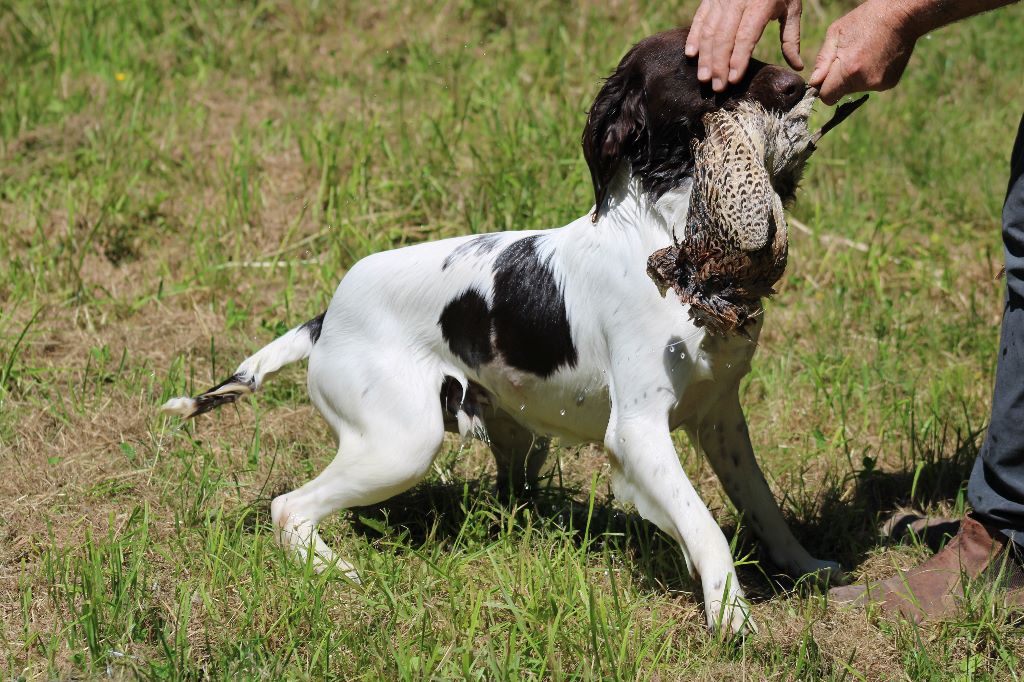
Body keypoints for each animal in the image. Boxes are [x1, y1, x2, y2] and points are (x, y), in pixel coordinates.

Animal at [163, 26, 843, 630]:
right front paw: (730, 616)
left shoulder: (721, 416)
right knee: (288, 508)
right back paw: (338, 573)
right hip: (401, 445)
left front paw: (807, 568)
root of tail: (328, 314)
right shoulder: (639, 433)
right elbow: (704, 526)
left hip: (513, 436)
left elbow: (763, 506)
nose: (799, 84)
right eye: (706, 69)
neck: (671, 236)